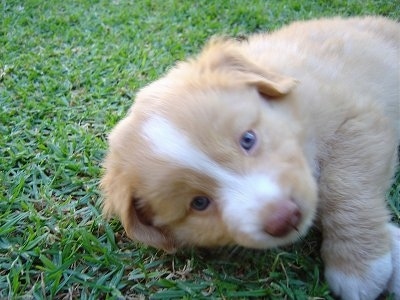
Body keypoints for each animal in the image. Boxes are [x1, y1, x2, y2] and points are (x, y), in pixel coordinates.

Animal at [101, 17, 400, 300]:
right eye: (199, 203)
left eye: (248, 139)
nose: (284, 218)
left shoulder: (359, 119)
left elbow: (342, 185)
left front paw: (358, 266)